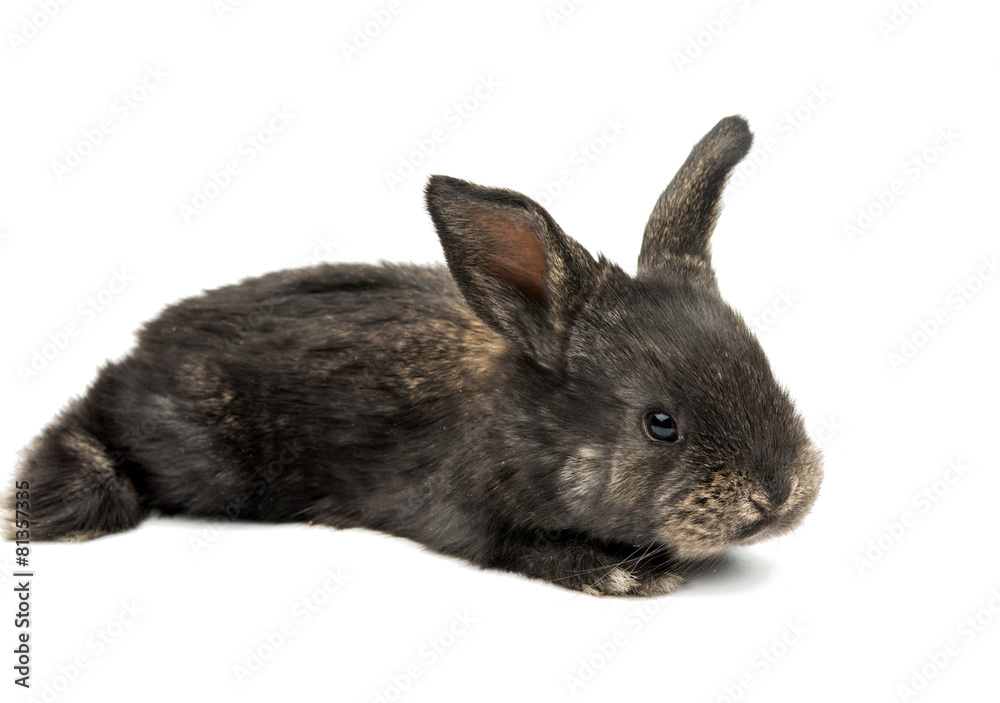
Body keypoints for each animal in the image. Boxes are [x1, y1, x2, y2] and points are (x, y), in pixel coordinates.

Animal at [7, 115, 822, 596]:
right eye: (660, 423)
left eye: (767, 370)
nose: (777, 495)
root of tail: (124, 374)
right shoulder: (468, 516)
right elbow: (521, 546)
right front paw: (622, 573)